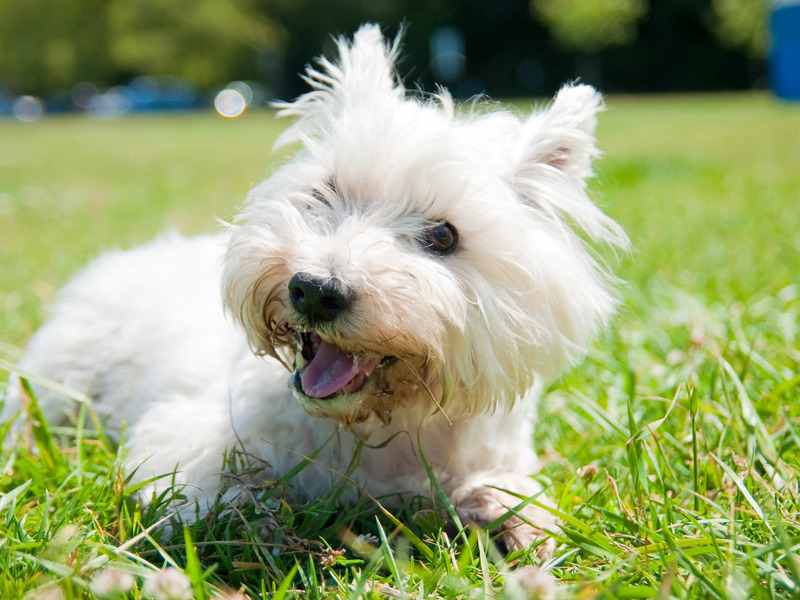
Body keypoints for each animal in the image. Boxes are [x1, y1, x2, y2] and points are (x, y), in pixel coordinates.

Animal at [3, 25, 628, 556]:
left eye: (444, 236)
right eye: (324, 194)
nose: (314, 290)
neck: (378, 427)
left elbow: (509, 490)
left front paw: (519, 524)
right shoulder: (183, 437)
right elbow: (218, 491)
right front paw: (263, 522)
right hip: (63, 374)